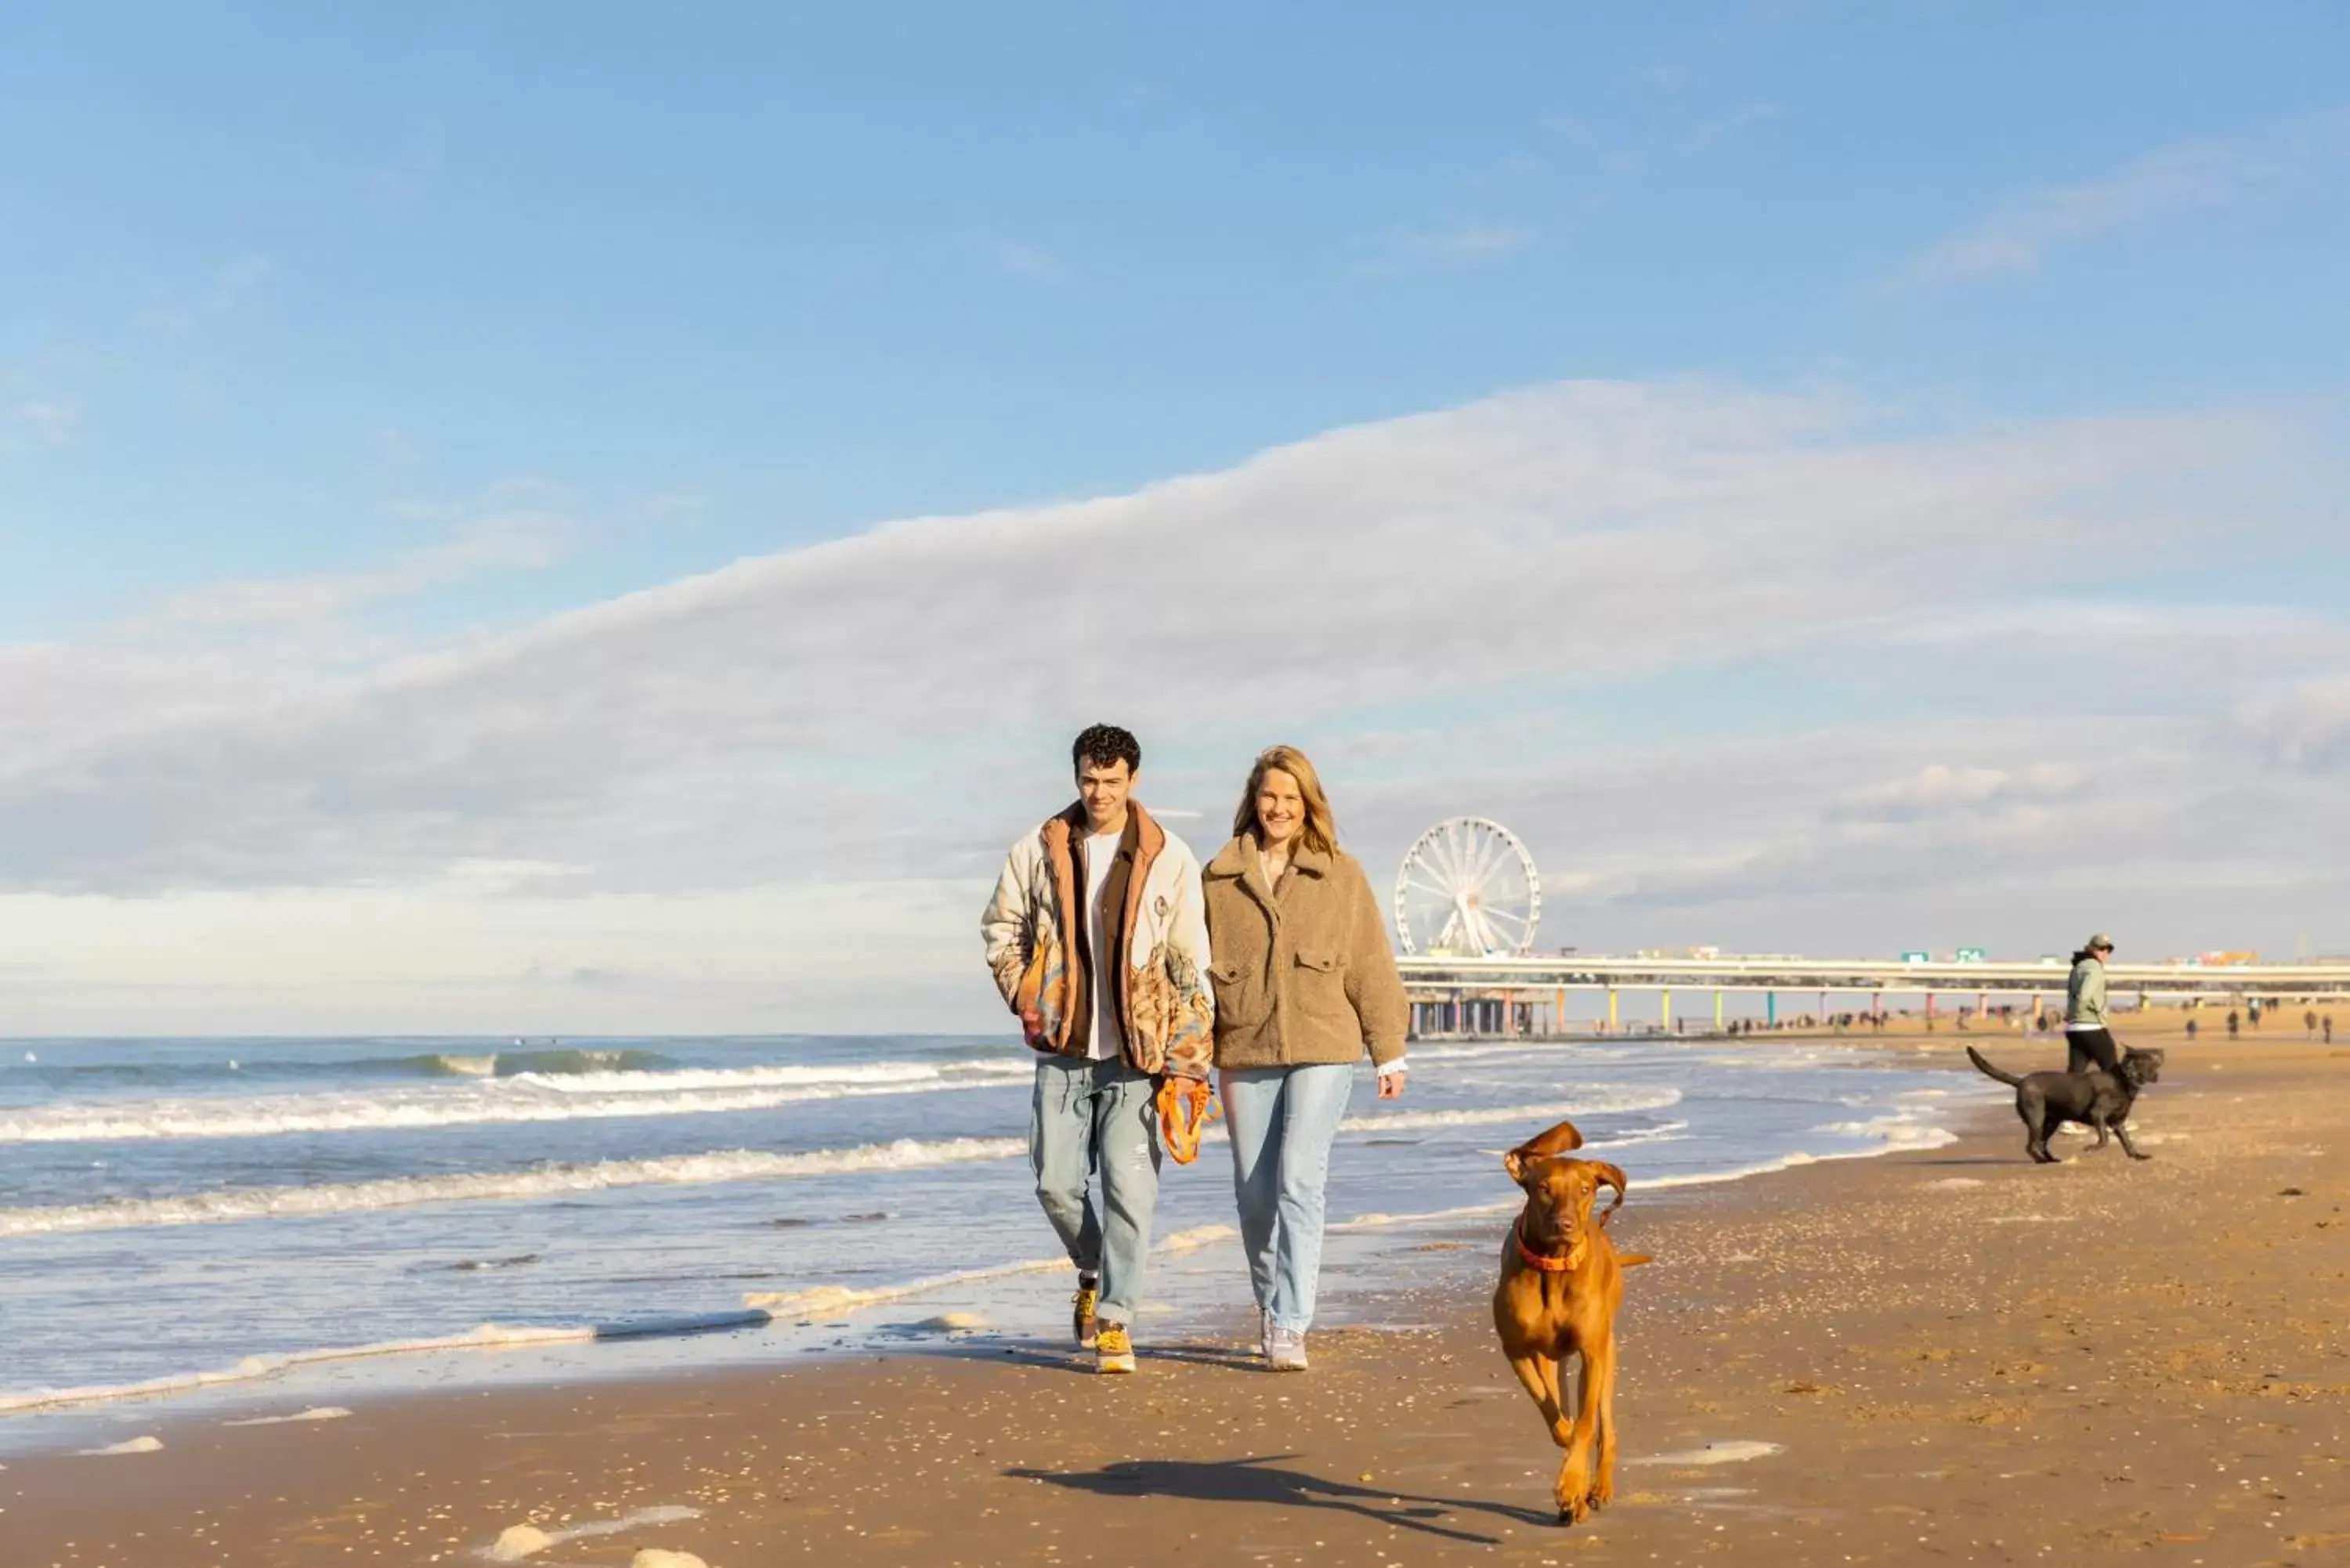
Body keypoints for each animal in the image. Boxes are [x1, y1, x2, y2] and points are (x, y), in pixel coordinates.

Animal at [1485, 1123, 1654, 1523]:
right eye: (1544, 1188)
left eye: (1585, 1189)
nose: (1565, 1225)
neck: (1554, 1267)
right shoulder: (1517, 1350)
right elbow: (1549, 1407)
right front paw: (1565, 1454)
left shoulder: (1592, 1353)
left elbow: (1586, 1424)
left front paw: (1573, 1483)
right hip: (1553, 1359)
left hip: (1608, 1353)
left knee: (1605, 1425)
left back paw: (1598, 1488)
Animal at [1965, 1048, 2162, 1161]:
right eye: (2132, 1062)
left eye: (2146, 1063)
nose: (2131, 1071)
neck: (2122, 1082)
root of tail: (2021, 1082)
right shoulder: (2097, 1114)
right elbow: (2104, 1138)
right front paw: (2091, 1148)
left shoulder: (2118, 1123)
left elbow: (2128, 1141)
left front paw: (2138, 1156)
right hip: (2036, 1118)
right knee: (2032, 1145)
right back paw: (2042, 1161)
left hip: (2051, 1122)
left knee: (2041, 1143)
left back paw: (2051, 1159)